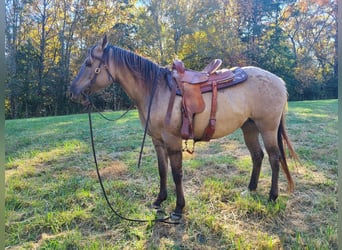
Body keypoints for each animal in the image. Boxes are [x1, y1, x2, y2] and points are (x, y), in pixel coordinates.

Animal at [71, 35, 298, 221]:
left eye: (89, 63)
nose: (72, 91)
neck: (154, 90)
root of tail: (279, 81)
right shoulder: (157, 141)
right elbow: (162, 170)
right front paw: (159, 200)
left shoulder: (172, 140)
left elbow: (176, 173)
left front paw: (179, 209)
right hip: (249, 127)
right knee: (257, 156)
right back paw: (250, 190)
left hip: (267, 128)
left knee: (274, 158)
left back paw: (272, 196)